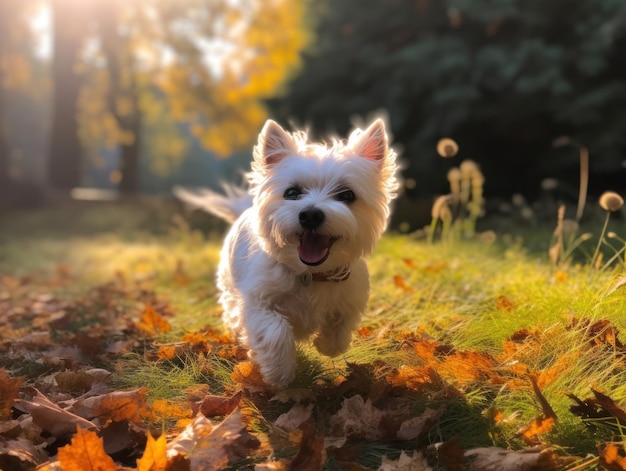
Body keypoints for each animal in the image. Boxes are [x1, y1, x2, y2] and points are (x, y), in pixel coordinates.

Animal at [173, 119, 398, 390]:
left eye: (347, 195)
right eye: (292, 193)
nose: (310, 214)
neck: (309, 274)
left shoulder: (350, 297)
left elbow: (339, 330)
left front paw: (325, 344)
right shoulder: (258, 303)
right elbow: (275, 331)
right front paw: (279, 373)